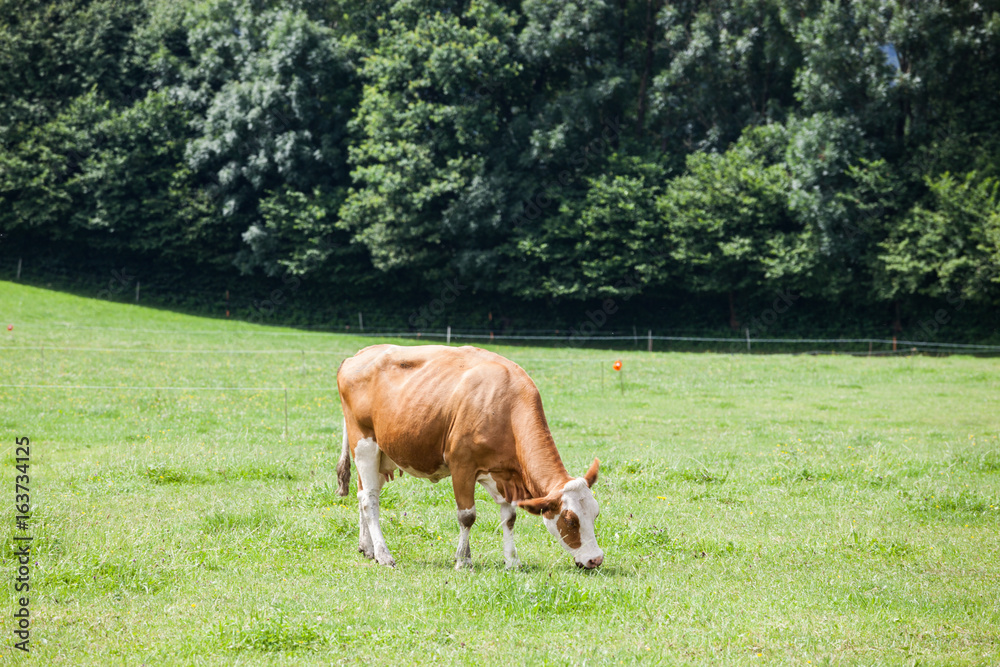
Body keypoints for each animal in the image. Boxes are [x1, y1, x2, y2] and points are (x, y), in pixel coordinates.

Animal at [335, 344, 603, 570]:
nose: (596, 559)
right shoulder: (462, 466)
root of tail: (357, 355)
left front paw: (512, 561)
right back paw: (383, 554)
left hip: (382, 454)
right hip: (364, 444)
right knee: (370, 500)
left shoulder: (503, 474)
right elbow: (467, 516)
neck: (506, 406)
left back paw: (367, 548)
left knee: (363, 493)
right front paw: (463, 560)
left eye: (595, 513)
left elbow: (509, 518)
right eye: (570, 520)